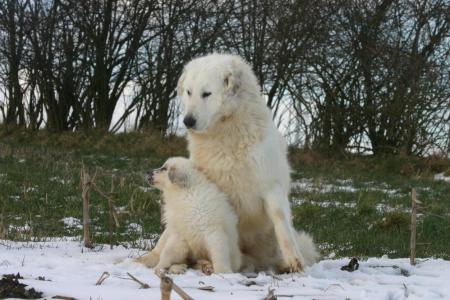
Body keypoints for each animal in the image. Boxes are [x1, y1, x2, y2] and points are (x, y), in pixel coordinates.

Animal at [178, 54, 318, 272]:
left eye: (206, 94)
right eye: (189, 92)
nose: (188, 121)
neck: (226, 132)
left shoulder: (270, 185)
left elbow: (281, 221)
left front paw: (294, 260)